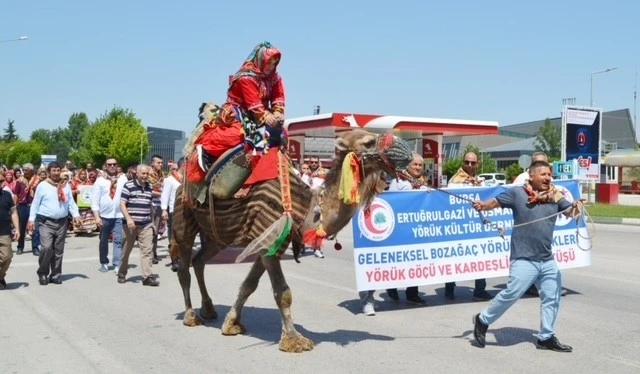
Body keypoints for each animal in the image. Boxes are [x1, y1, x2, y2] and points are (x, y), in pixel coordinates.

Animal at [170, 103, 412, 352]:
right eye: (368, 142)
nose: (406, 149)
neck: (305, 207)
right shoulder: (267, 238)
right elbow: (282, 292)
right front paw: (294, 340)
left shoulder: (270, 241)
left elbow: (249, 285)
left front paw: (231, 323)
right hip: (183, 218)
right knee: (184, 267)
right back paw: (190, 315)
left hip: (217, 236)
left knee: (199, 261)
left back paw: (209, 309)